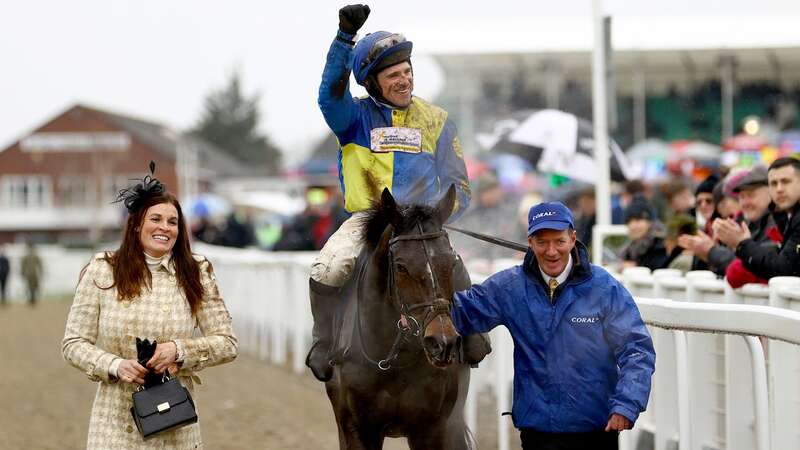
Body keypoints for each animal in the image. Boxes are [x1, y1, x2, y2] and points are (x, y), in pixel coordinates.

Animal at [324, 185, 476, 448]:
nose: (442, 342)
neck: (393, 360)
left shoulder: (432, 429)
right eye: (401, 267)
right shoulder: (357, 428)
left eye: (452, 262)